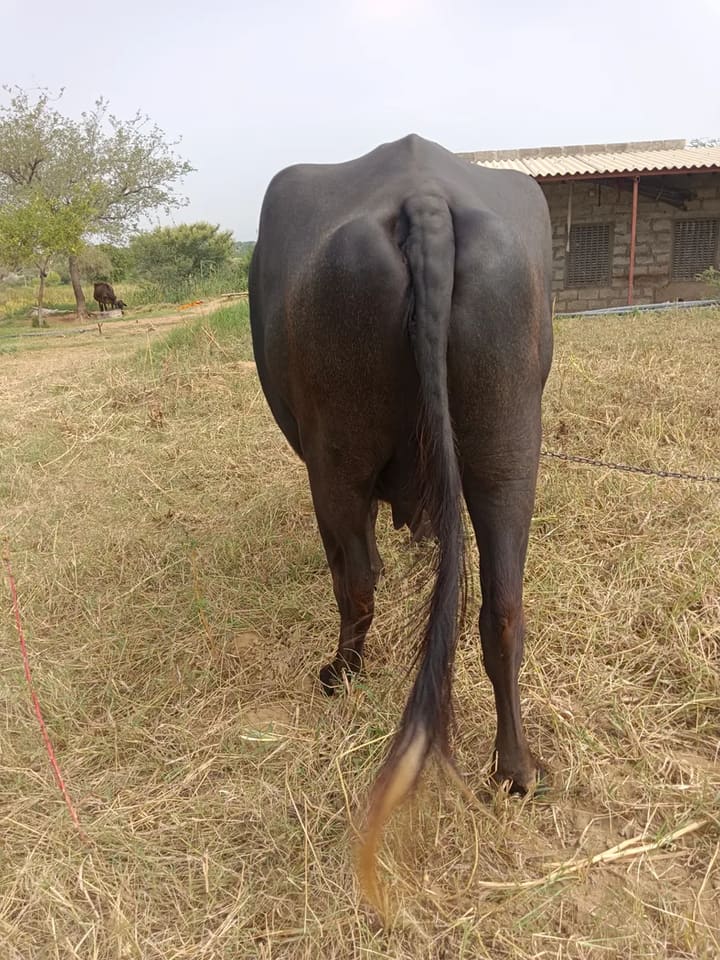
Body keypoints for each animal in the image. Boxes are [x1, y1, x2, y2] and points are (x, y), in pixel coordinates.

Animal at [249, 134, 553, 908]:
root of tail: (424, 198)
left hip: (335, 457)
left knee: (356, 579)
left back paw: (342, 672)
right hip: (510, 447)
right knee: (504, 606)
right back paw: (516, 769)